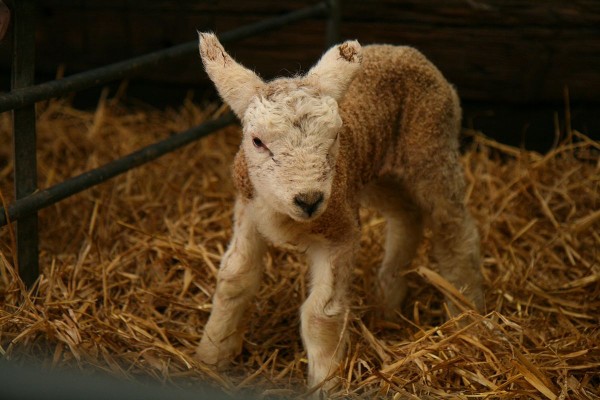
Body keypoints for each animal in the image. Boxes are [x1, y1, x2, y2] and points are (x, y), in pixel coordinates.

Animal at [195, 32, 486, 396]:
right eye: (257, 141)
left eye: (335, 136)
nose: (309, 199)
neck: (287, 218)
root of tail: (403, 50)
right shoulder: (249, 212)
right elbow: (235, 279)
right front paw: (211, 356)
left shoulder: (341, 233)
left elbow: (321, 314)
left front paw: (326, 384)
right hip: (376, 174)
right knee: (407, 216)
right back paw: (388, 301)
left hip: (432, 148)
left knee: (454, 230)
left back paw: (468, 315)